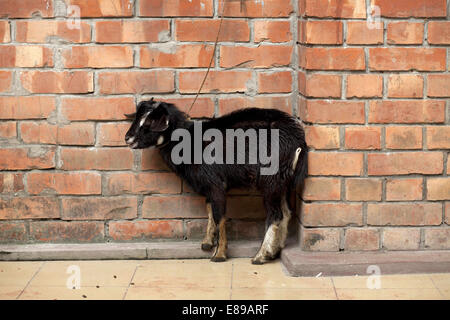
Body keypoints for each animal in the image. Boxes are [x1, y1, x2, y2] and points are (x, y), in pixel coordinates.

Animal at [126, 99, 310, 264]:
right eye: (137, 117)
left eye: (150, 121)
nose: (128, 138)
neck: (189, 143)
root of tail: (298, 142)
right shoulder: (208, 186)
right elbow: (210, 210)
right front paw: (207, 243)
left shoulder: (216, 184)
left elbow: (219, 216)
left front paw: (219, 254)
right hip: (282, 182)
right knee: (286, 213)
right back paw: (275, 250)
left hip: (271, 180)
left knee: (276, 215)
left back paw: (261, 255)